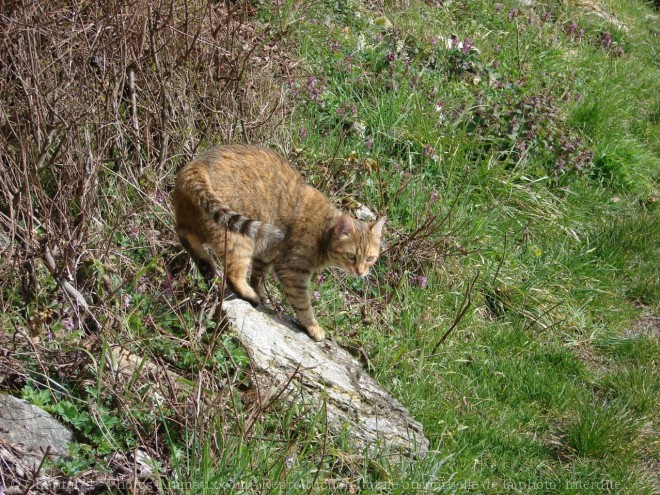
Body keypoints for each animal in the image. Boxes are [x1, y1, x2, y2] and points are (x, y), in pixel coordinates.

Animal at [171, 145, 386, 342]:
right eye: (351, 256)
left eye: (370, 258)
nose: (361, 272)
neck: (324, 231)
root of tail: (197, 164)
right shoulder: (293, 271)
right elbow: (303, 304)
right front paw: (313, 326)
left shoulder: (267, 254)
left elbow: (258, 276)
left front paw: (263, 293)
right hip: (238, 237)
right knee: (232, 274)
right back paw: (249, 295)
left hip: (196, 223)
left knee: (185, 235)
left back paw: (207, 267)